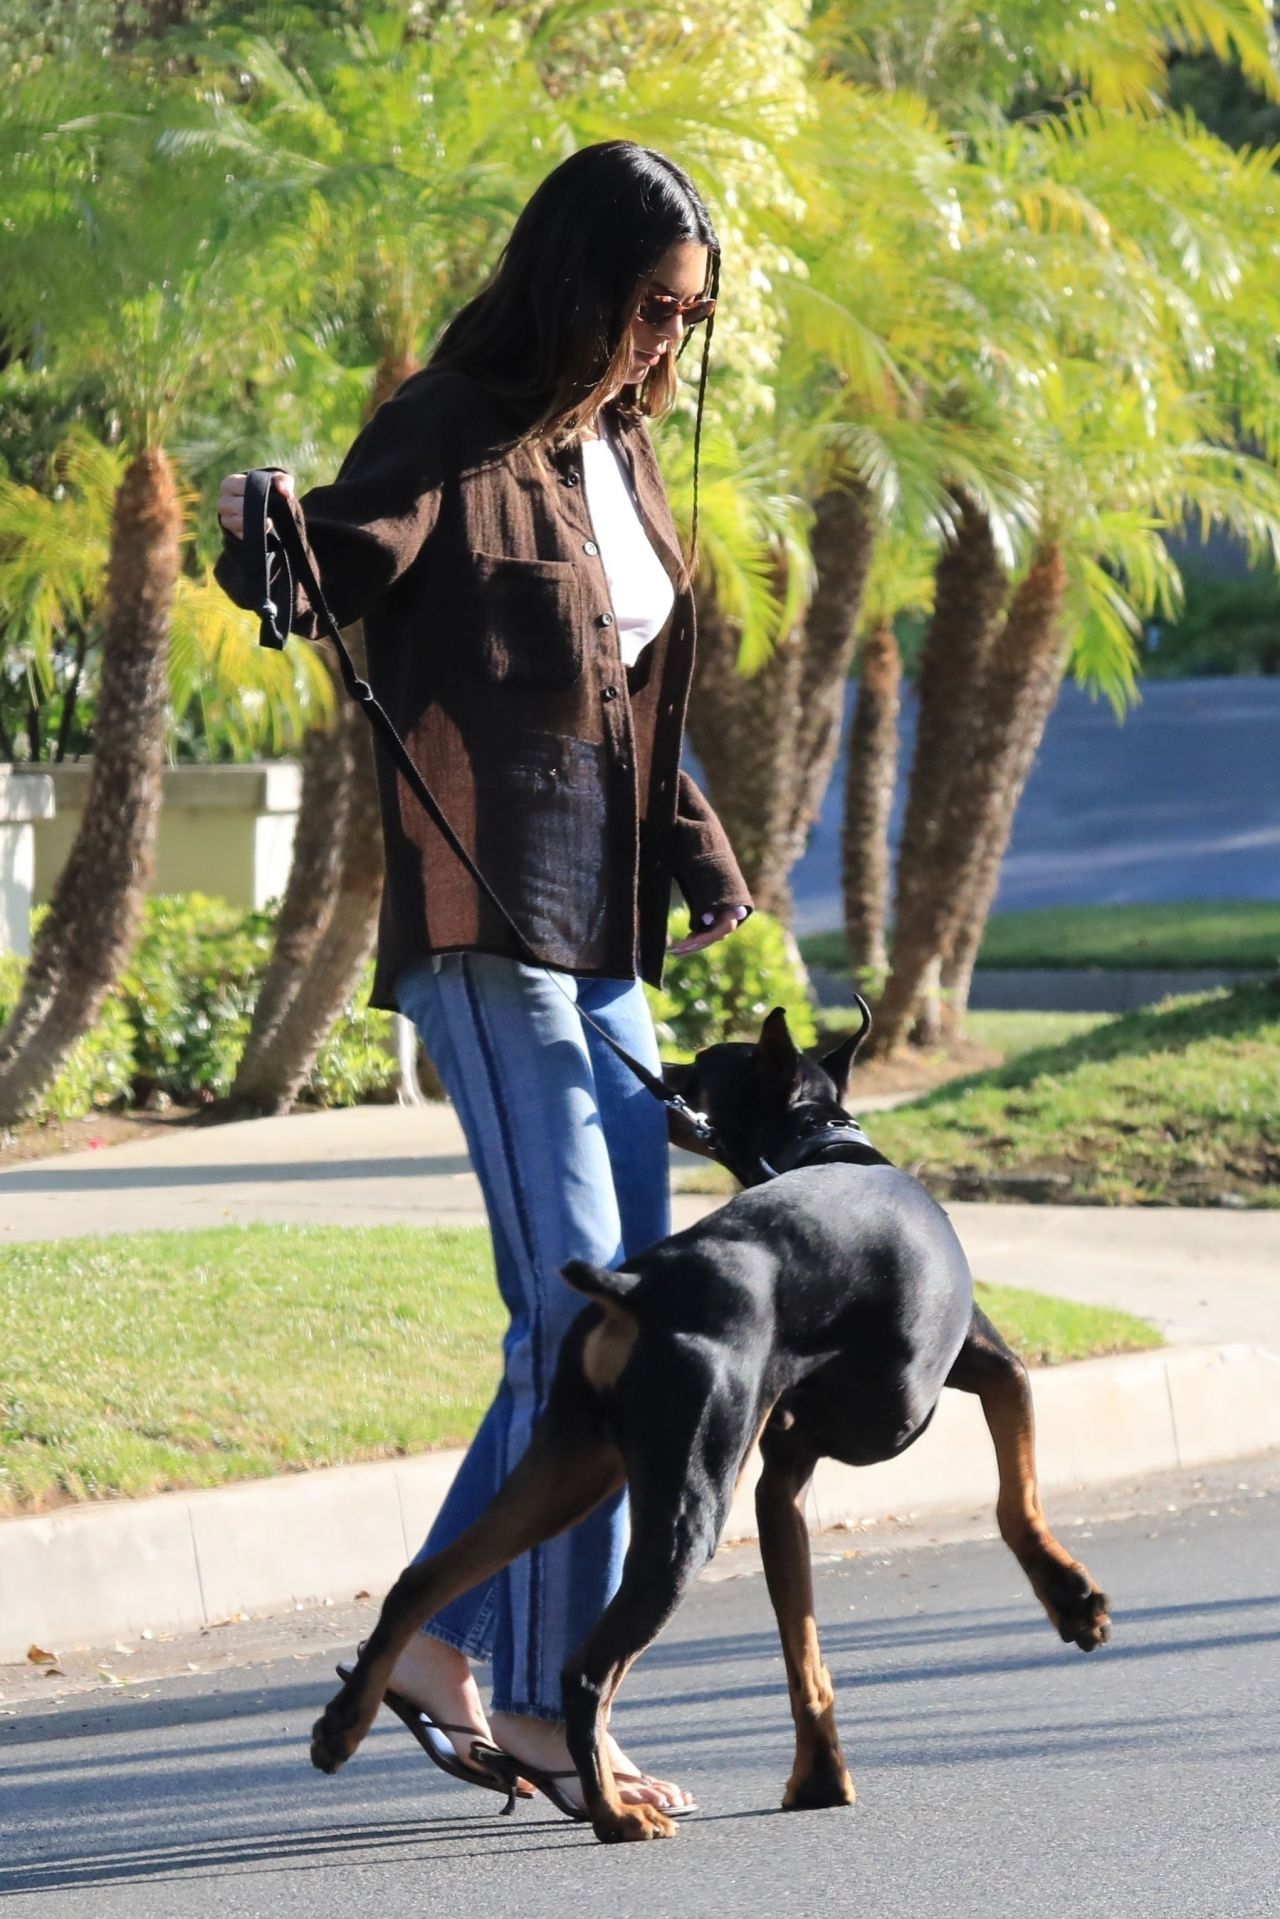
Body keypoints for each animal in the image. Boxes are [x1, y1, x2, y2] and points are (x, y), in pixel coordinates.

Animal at [312, 997, 1113, 1834]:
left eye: (700, 1063)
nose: (656, 1075)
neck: (819, 1141)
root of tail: (637, 1285)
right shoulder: (996, 1370)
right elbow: (1016, 1499)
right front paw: (1074, 1601)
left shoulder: (779, 1486)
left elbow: (804, 1654)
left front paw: (817, 1776)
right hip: (686, 1505)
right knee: (586, 1670)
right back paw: (614, 1811)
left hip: (570, 1464)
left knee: (423, 1578)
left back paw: (346, 1723)